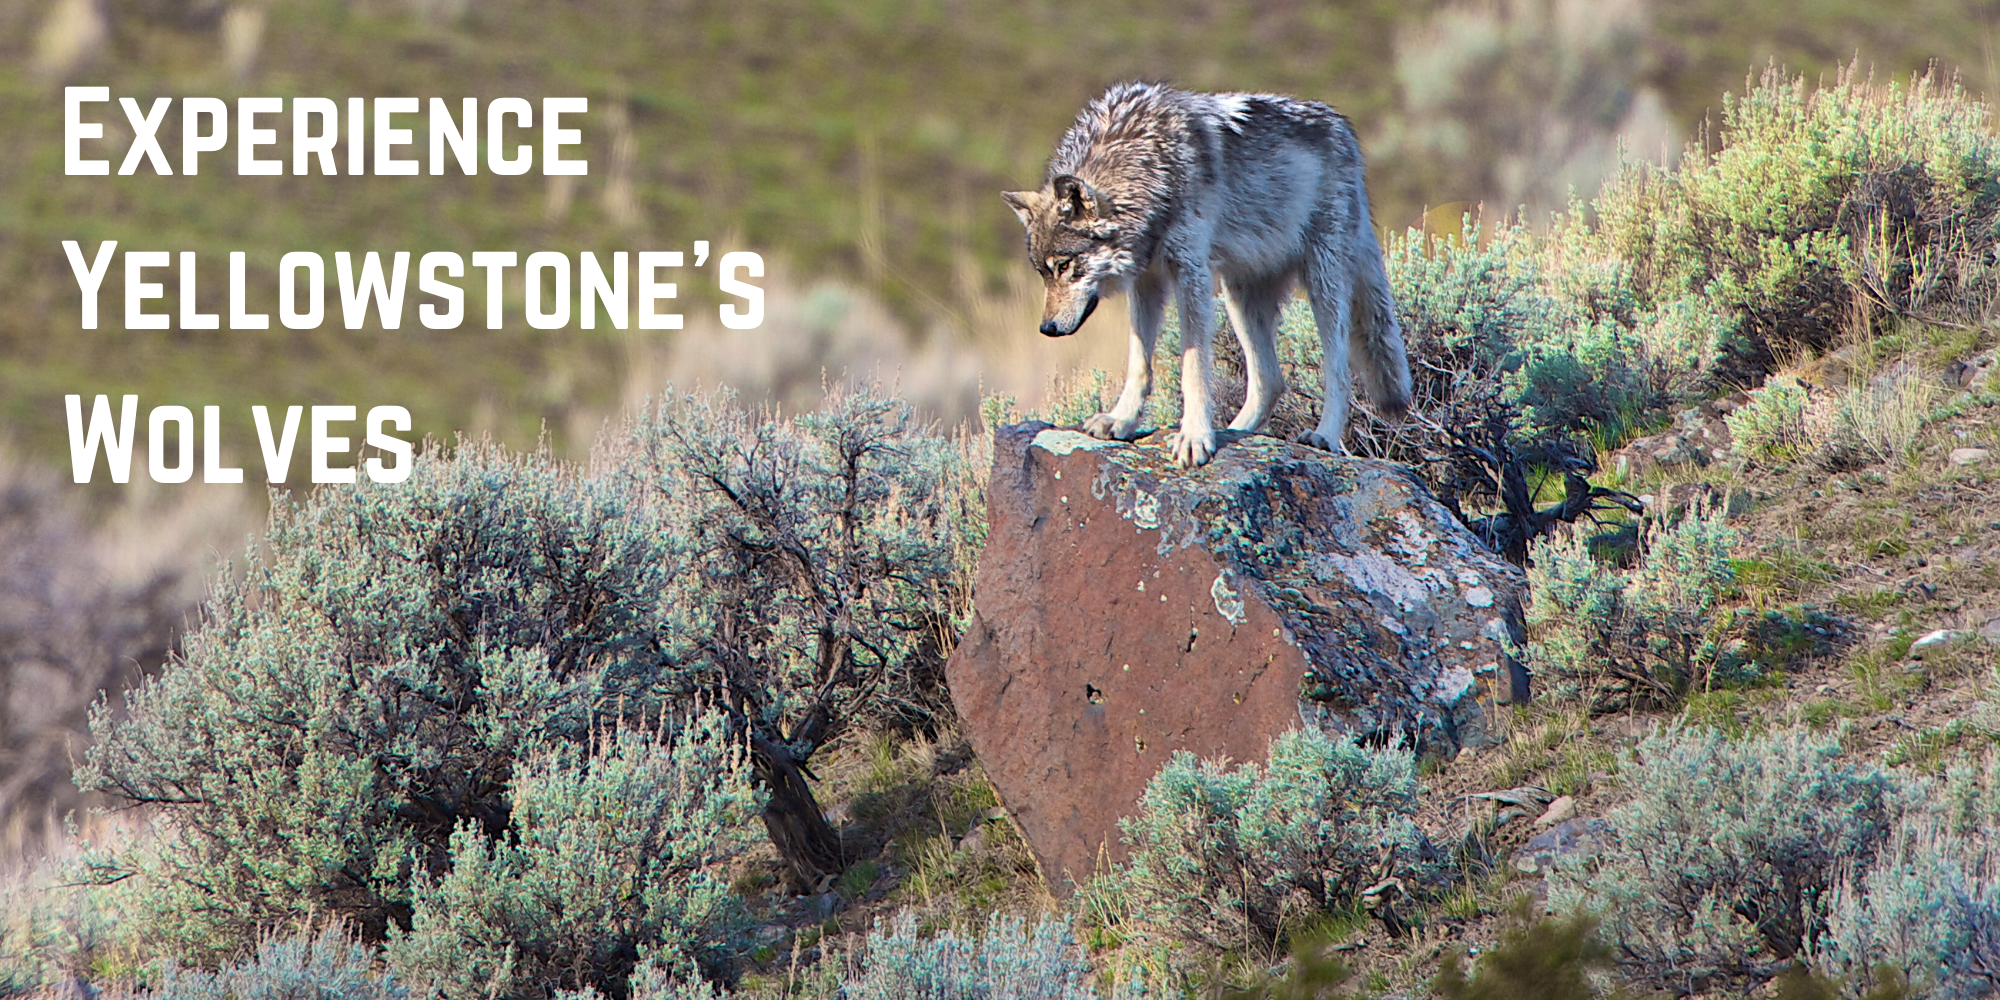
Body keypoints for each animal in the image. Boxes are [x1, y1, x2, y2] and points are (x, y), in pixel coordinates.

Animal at [1004, 81, 1412, 467]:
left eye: (1064, 265)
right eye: (1042, 273)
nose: (1047, 329)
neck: (1145, 168)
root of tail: (1344, 129)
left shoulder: (1191, 273)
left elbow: (1193, 370)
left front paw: (1194, 437)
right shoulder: (1147, 282)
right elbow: (1139, 363)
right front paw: (1121, 420)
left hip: (1321, 284)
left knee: (1339, 371)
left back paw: (1323, 436)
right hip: (1238, 298)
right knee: (1270, 381)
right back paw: (1236, 431)